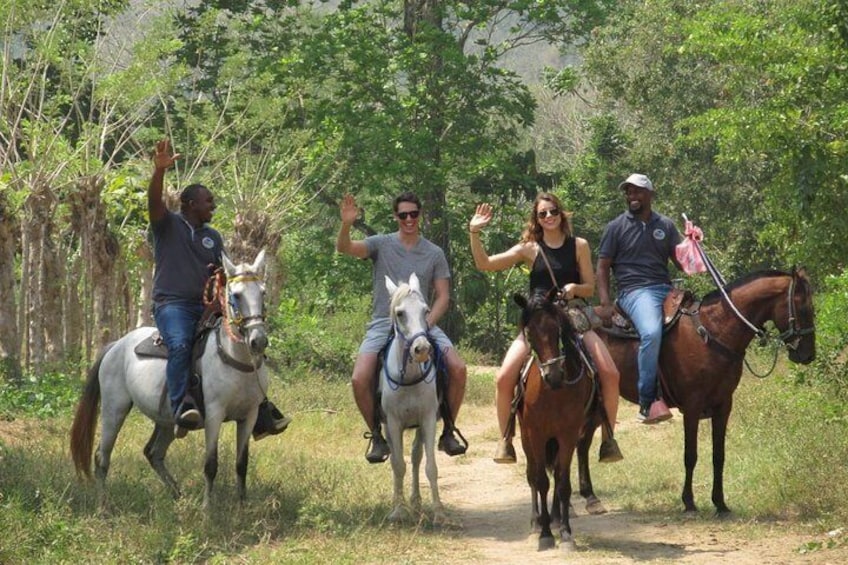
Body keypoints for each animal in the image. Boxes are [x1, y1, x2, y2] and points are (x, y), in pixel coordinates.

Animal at [71, 249, 268, 508]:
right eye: (236, 295)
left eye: (263, 293)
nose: (258, 340)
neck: (236, 359)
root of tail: (116, 345)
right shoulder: (214, 414)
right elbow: (211, 465)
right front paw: (207, 510)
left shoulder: (249, 415)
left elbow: (241, 464)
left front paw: (242, 507)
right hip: (114, 409)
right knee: (102, 458)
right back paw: (104, 507)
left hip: (165, 419)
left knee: (153, 453)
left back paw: (178, 496)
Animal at [380, 270, 444, 524]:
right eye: (400, 313)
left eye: (425, 311)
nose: (422, 349)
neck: (409, 379)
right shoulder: (394, 422)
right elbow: (398, 465)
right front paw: (398, 510)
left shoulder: (427, 419)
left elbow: (430, 466)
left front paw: (438, 510)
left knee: (417, 456)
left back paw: (416, 501)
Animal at [512, 290, 600, 552]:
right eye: (529, 333)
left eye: (556, 329)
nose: (554, 376)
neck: (552, 392)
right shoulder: (537, 434)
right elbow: (540, 481)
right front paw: (545, 535)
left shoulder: (568, 435)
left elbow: (562, 482)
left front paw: (566, 533)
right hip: (526, 437)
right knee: (532, 474)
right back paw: (536, 523)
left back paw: (555, 518)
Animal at [580, 266, 820, 512]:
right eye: (803, 307)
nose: (808, 355)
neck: (714, 331)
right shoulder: (692, 406)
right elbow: (690, 455)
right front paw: (689, 501)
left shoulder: (724, 405)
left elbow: (718, 455)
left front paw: (720, 503)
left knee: (583, 443)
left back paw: (590, 497)